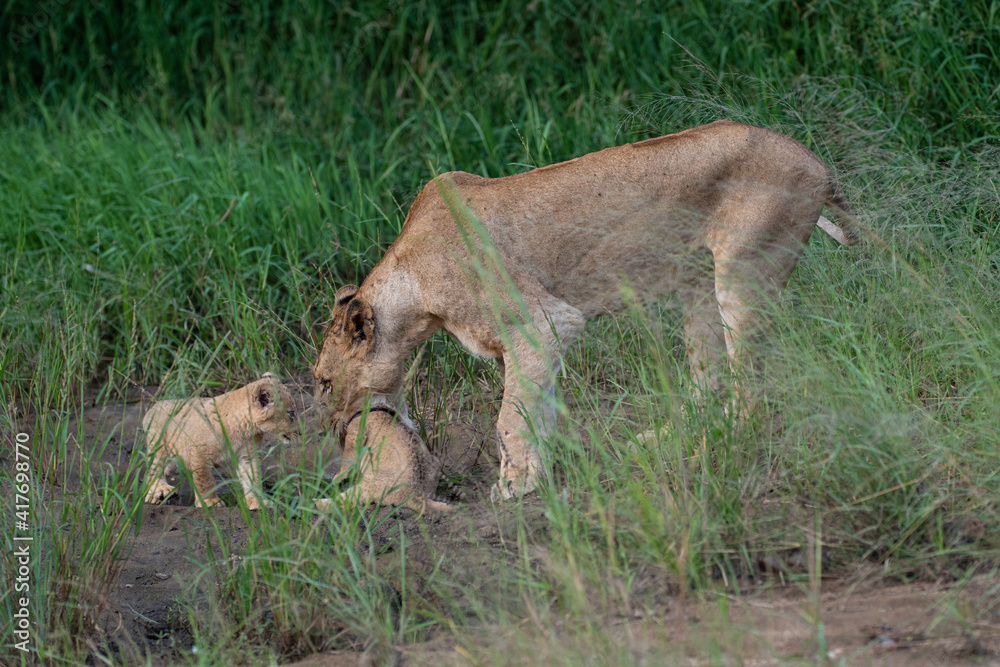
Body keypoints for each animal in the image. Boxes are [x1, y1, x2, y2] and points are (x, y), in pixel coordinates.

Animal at [143, 373, 297, 509]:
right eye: (291, 413)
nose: (299, 433)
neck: (244, 428)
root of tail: (154, 406)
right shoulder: (199, 452)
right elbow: (204, 479)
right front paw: (209, 501)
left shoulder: (248, 456)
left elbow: (253, 478)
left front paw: (257, 502)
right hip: (159, 449)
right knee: (152, 472)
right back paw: (160, 492)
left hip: (175, 461)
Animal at [313, 120, 859, 500]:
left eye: (322, 382)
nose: (328, 432)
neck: (414, 298)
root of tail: (816, 162)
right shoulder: (542, 341)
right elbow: (538, 408)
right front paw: (538, 471)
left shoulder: (542, 323)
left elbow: (509, 417)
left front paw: (516, 487)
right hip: (697, 282)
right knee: (709, 381)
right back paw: (660, 440)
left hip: (744, 272)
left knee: (750, 390)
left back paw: (706, 451)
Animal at [315, 407, 452, 514]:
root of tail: (418, 494)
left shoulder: (355, 435)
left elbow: (347, 462)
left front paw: (336, 477)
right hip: (436, 462)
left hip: (369, 482)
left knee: (347, 500)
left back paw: (315, 502)